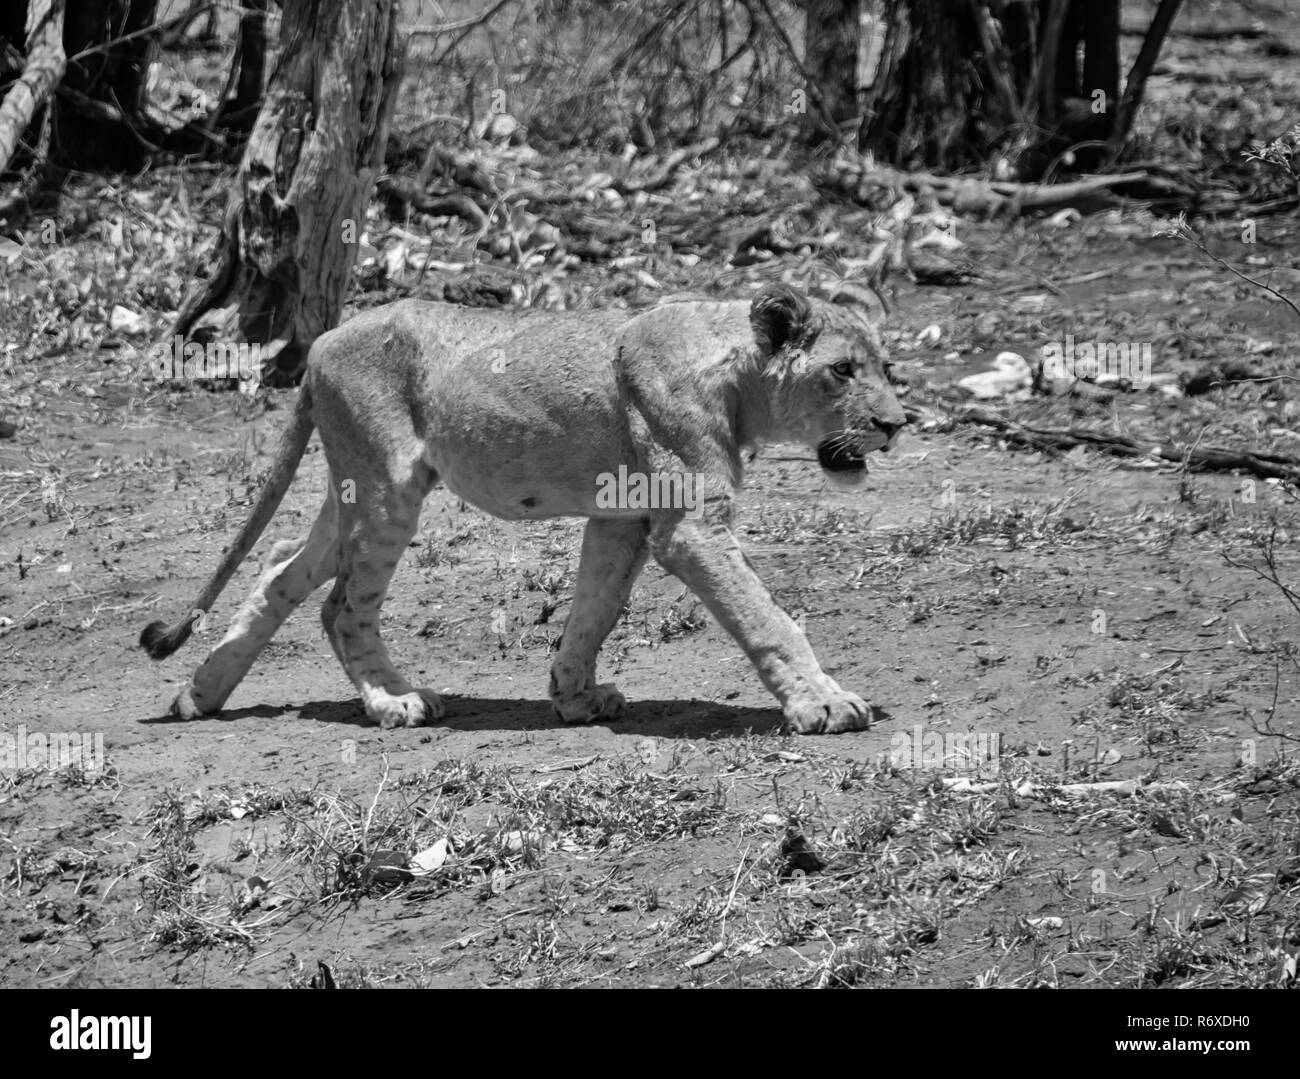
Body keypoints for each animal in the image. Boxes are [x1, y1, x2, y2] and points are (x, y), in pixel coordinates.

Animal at [142, 283, 904, 733]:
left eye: (886, 368)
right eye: (842, 370)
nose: (899, 423)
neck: (737, 372)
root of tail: (322, 343)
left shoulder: (621, 515)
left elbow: (594, 608)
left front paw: (574, 696)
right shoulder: (690, 527)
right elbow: (767, 616)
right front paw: (824, 702)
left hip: (353, 489)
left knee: (279, 567)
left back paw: (200, 694)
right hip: (388, 486)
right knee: (338, 606)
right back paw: (393, 700)